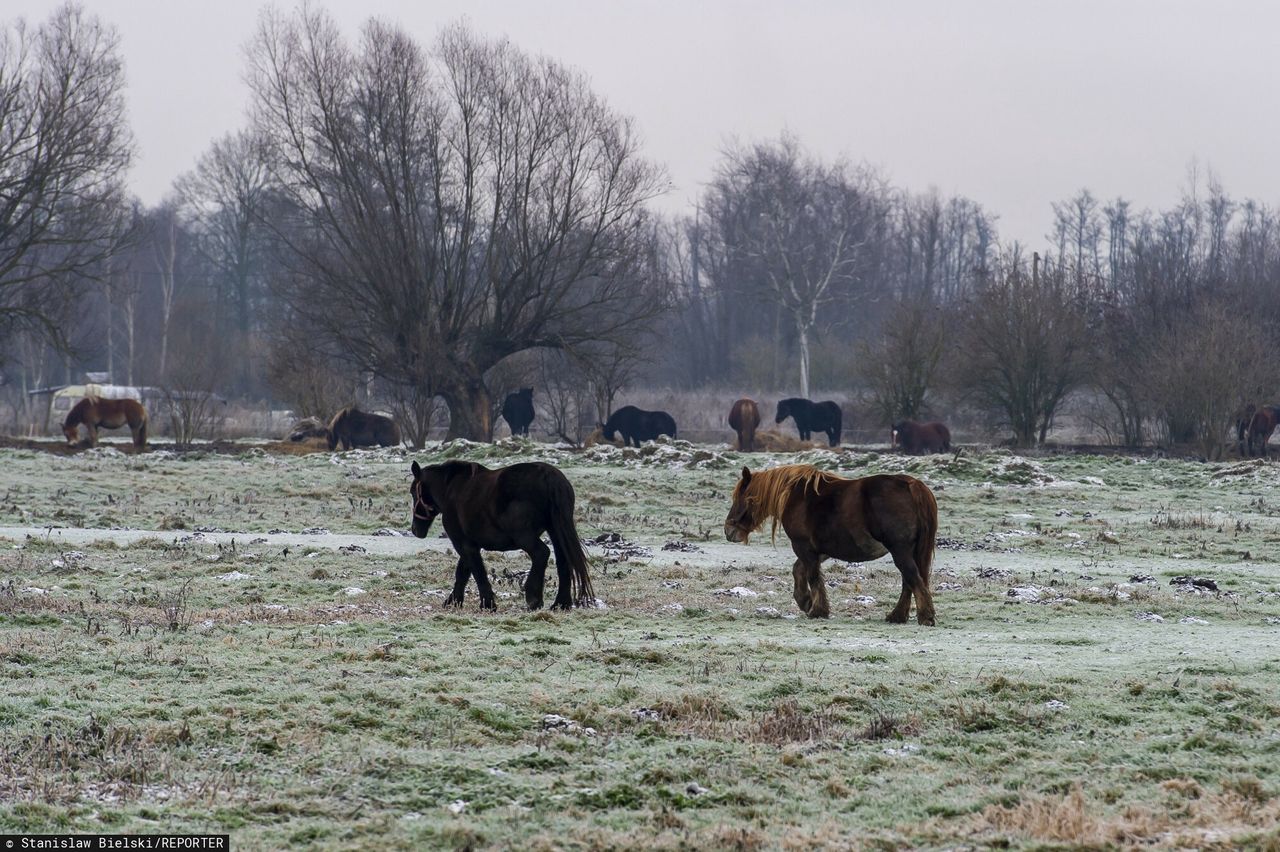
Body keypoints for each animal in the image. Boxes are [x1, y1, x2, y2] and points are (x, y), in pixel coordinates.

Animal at [407, 457, 596, 611]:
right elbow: (463, 571)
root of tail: (550, 477)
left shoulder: (462, 543)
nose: (415, 530)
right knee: (563, 560)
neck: (452, 490)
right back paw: (561, 604)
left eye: (413, 492)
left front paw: (487, 604)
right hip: (556, 531)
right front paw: (453, 601)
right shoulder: (471, 544)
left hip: (524, 536)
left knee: (541, 553)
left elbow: (476, 572)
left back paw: (533, 598)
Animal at [721, 465, 942, 624]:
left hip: (900, 551)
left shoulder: (803, 546)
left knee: (912, 579)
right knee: (909, 581)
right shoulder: (819, 551)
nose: (728, 530)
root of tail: (912, 484)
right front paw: (805, 601)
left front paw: (817, 609)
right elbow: (799, 570)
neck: (795, 496)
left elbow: (812, 576)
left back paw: (924, 616)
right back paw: (898, 616)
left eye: (740, 497)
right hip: (910, 551)